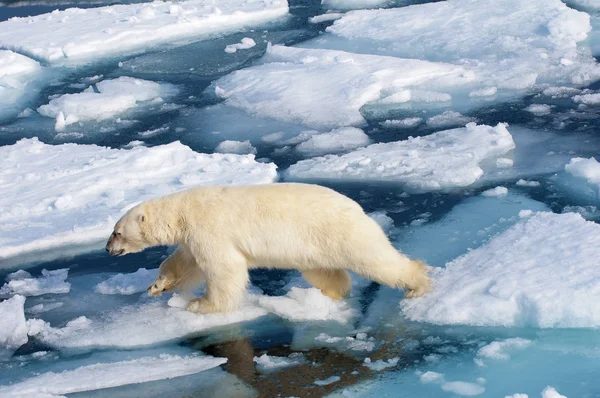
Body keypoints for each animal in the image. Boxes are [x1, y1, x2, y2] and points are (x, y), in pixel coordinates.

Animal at [105, 183, 428, 314]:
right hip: (312, 246)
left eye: (116, 232)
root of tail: (358, 208)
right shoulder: (193, 237)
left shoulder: (210, 228)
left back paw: (418, 285)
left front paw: (201, 305)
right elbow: (186, 263)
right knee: (324, 272)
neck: (183, 212)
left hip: (342, 233)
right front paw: (157, 286)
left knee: (376, 260)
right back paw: (327, 294)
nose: (107, 249)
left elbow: (223, 268)